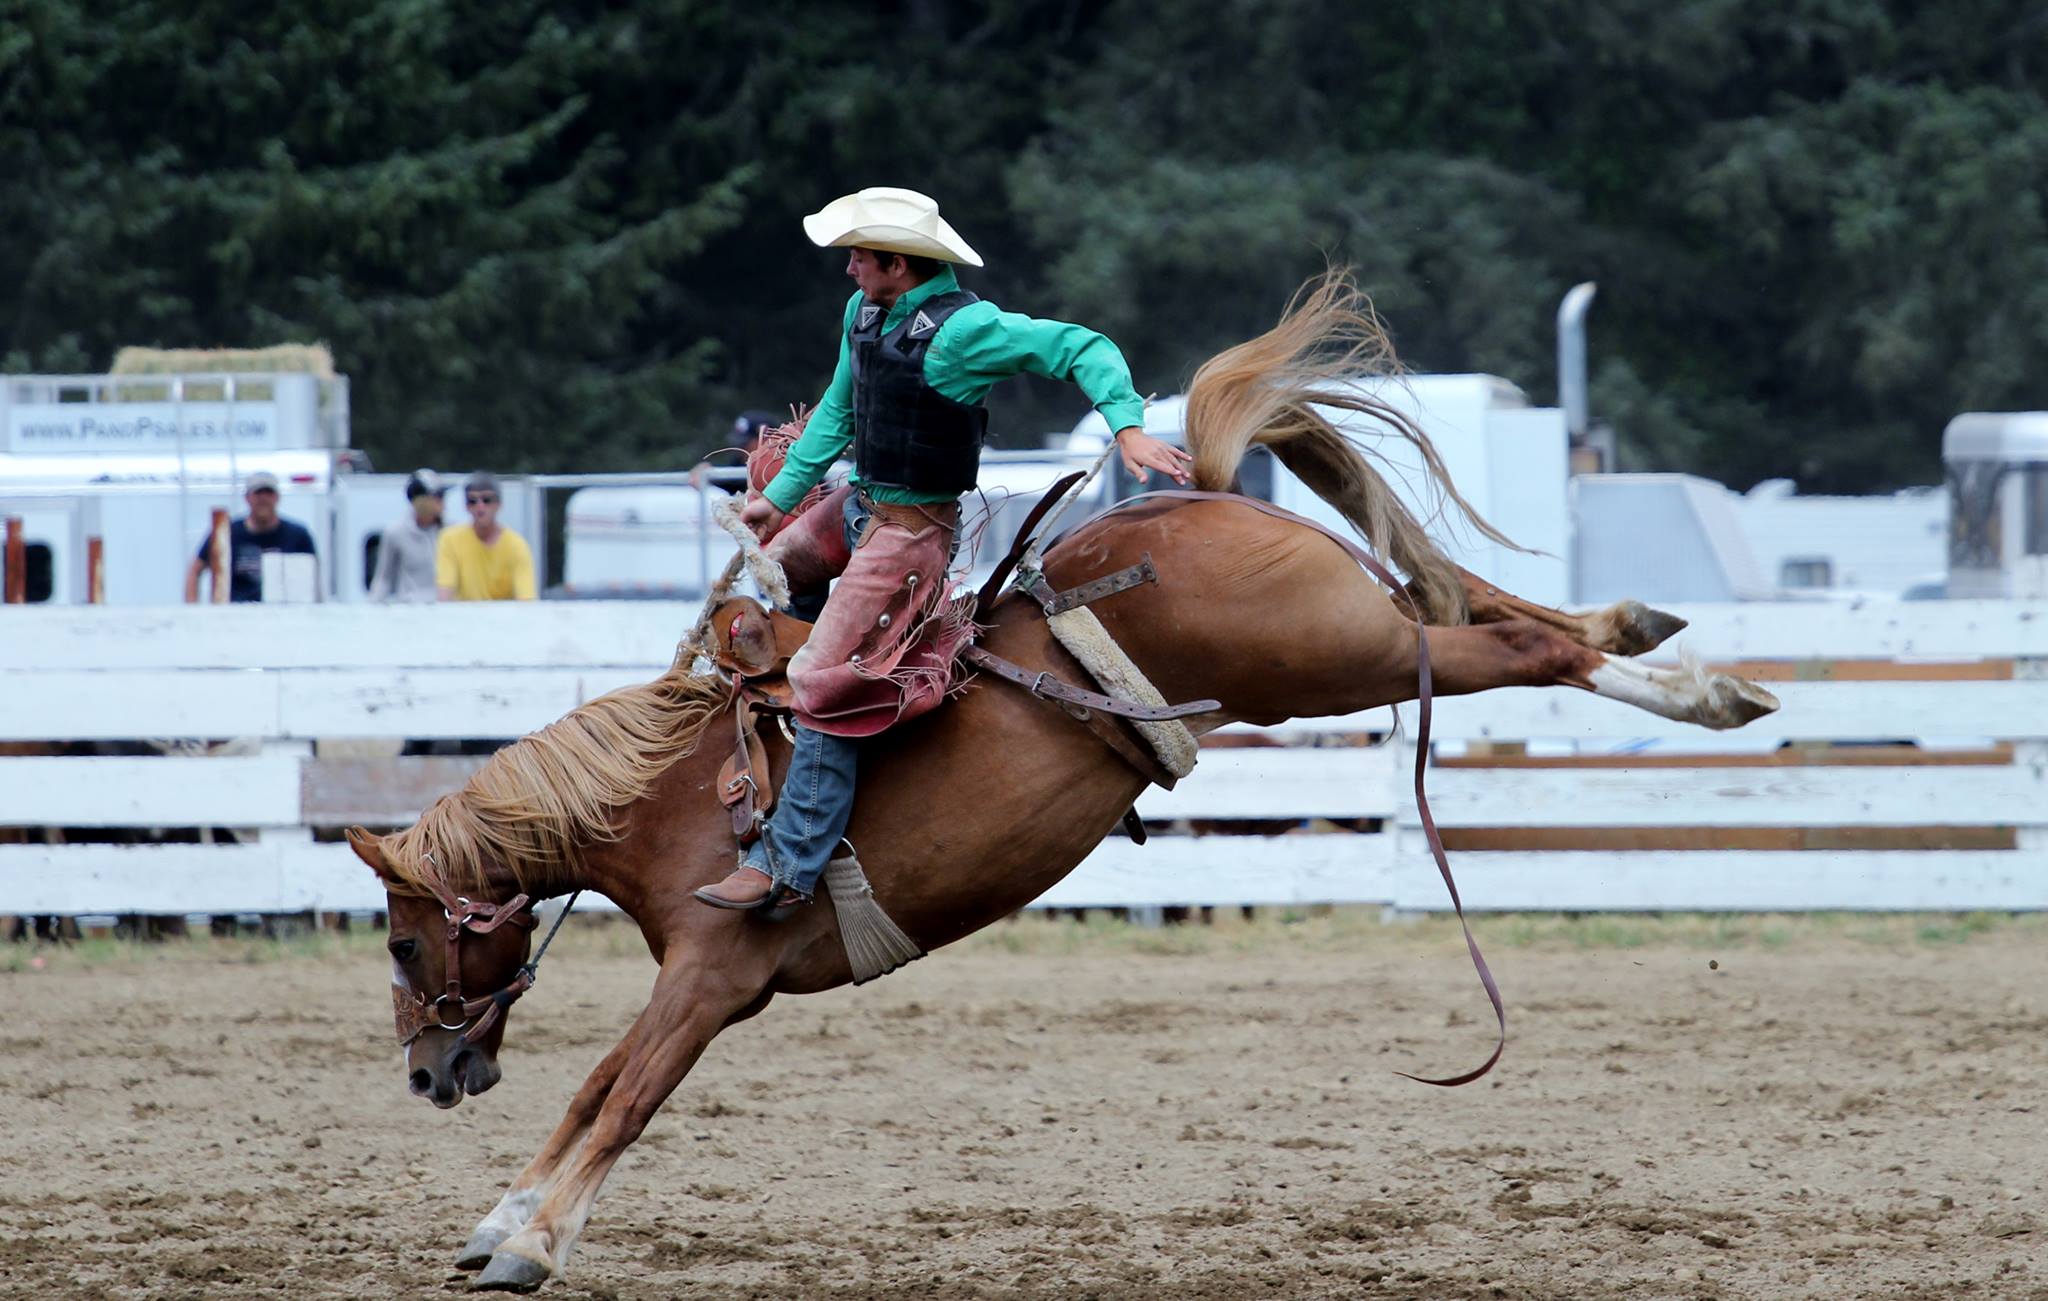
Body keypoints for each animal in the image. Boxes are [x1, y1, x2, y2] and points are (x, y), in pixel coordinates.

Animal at [352, 276, 1777, 1294]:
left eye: (405, 934)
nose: (426, 1075)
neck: (674, 796)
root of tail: (1194, 497)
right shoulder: (702, 982)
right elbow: (605, 1087)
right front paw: (493, 1223)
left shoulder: (711, 973)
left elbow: (616, 1088)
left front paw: (523, 1240)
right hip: (1342, 636)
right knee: (1468, 598)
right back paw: (1654, 630)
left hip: (1330, 655)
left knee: (1522, 648)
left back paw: (1708, 694)